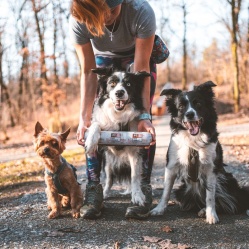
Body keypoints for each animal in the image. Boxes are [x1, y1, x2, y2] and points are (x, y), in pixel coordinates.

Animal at [84, 68, 150, 206]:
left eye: (129, 84)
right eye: (112, 83)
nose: (119, 93)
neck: (120, 114)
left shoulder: (135, 152)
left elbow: (135, 177)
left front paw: (137, 196)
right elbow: (96, 124)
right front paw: (91, 141)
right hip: (108, 163)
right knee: (109, 179)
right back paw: (104, 193)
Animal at [150, 81, 249, 224]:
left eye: (198, 104)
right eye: (181, 107)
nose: (190, 114)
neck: (193, 139)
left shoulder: (211, 169)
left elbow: (210, 196)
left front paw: (211, 215)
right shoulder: (171, 165)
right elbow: (166, 191)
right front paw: (159, 209)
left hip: (225, 180)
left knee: (230, 203)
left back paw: (205, 210)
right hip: (182, 190)